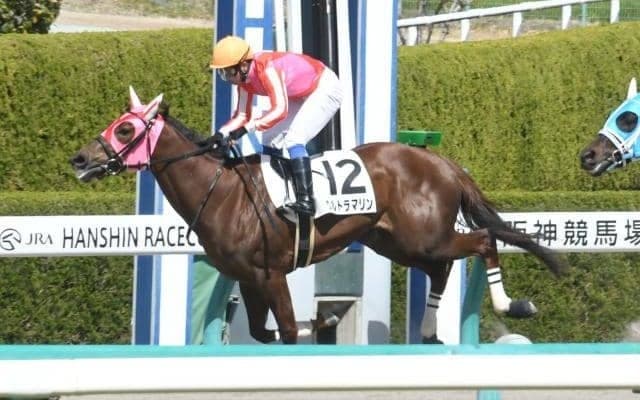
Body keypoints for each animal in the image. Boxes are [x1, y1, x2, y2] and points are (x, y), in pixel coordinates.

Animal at [70, 87, 566, 344]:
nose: (80, 159)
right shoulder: (248, 278)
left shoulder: (270, 273)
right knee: (441, 268)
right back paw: (428, 330)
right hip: (396, 241)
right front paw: (320, 324)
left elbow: (289, 328)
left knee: (483, 240)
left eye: (126, 129)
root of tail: (441, 162)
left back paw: (511, 304)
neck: (224, 193)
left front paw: (314, 326)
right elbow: (263, 332)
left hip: (424, 236)